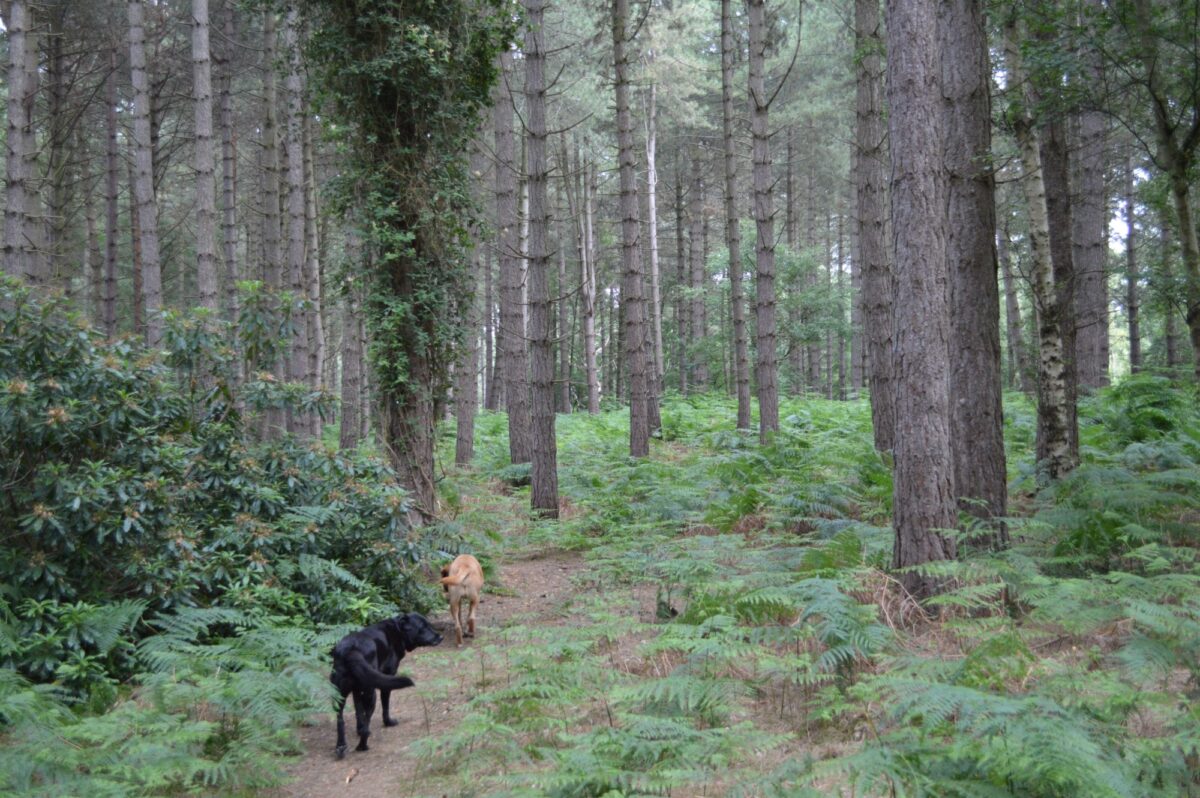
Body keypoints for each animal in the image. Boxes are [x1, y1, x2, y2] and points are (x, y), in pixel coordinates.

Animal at [328, 612, 441, 758]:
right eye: (423, 627)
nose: (440, 637)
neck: (398, 631)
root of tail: (351, 650)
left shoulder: (357, 691)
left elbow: (358, 712)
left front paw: (358, 728)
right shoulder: (386, 681)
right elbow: (385, 707)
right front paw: (388, 722)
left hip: (339, 695)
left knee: (340, 721)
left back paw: (341, 747)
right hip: (371, 694)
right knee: (366, 723)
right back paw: (362, 746)